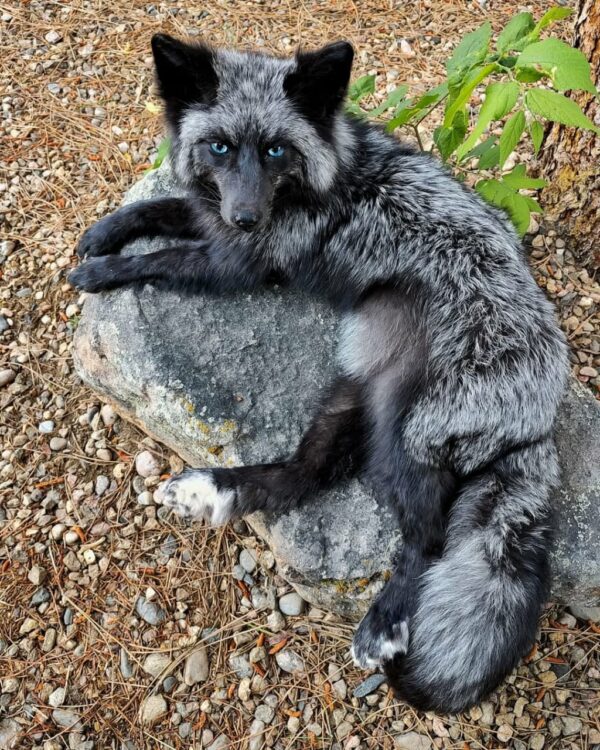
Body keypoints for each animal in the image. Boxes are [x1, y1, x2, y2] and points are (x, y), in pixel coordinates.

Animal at [69, 34, 569, 713]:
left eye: (276, 150)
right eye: (219, 147)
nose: (247, 216)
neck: (324, 182)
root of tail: (540, 419)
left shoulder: (236, 263)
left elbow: (166, 255)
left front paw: (105, 271)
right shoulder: (216, 220)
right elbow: (166, 206)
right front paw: (106, 230)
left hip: (405, 437)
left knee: (427, 537)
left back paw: (384, 622)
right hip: (353, 395)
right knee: (300, 476)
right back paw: (212, 490)